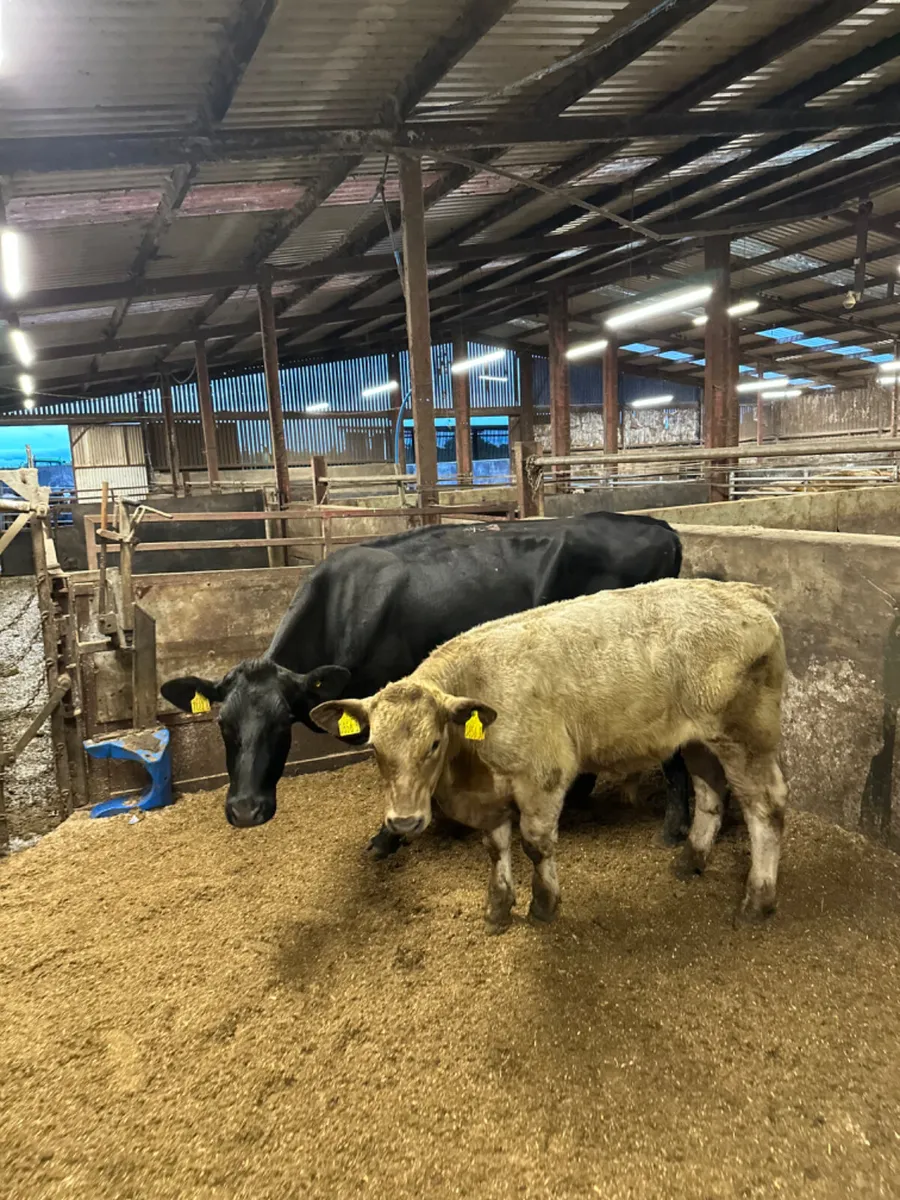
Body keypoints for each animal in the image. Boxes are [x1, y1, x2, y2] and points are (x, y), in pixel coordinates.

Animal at [161, 512, 692, 850]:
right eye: (222, 727)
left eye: (279, 725)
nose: (245, 810)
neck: (343, 606)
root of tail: (660, 526)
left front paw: (389, 836)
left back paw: (674, 826)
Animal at [311, 578, 788, 933]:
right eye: (374, 747)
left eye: (433, 744)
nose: (404, 821)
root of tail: (747, 593)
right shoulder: (492, 793)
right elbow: (495, 846)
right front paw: (498, 907)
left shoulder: (543, 775)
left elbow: (535, 845)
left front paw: (543, 905)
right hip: (698, 740)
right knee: (711, 792)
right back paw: (692, 860)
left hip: (745, 735)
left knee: (766, 806)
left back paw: (757, 900)